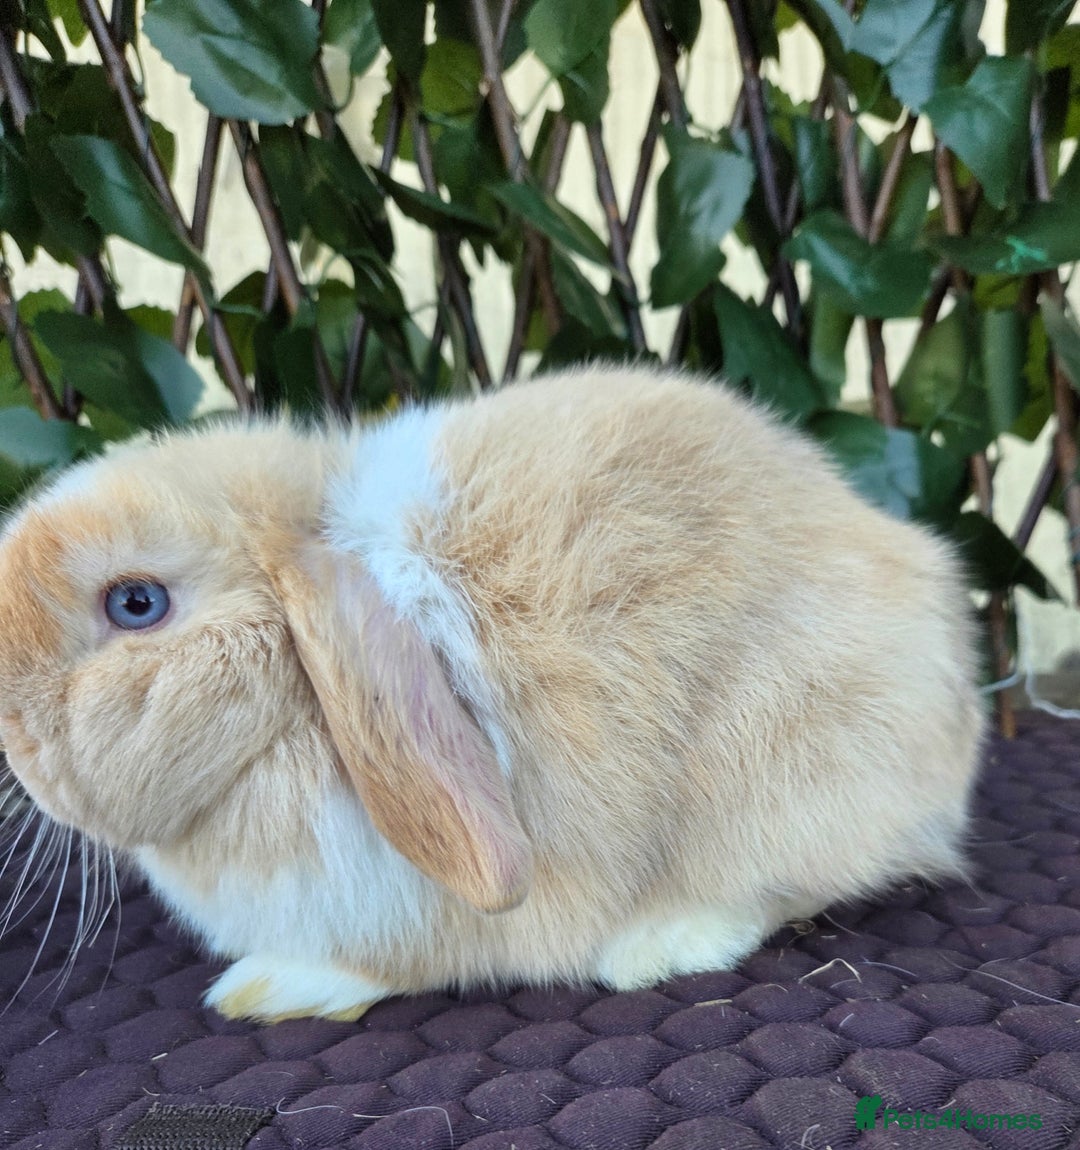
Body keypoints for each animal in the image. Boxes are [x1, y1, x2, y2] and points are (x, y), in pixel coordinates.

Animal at [0, 366, 984, 1021]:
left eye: (136, 603)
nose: (13, 740)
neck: (289, 713)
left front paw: (264, 989)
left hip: (784, 766)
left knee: (786, 888)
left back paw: (658, 944)